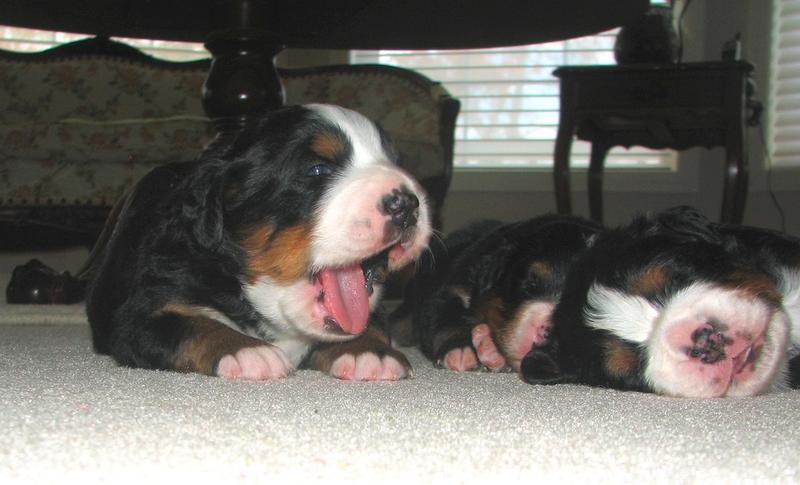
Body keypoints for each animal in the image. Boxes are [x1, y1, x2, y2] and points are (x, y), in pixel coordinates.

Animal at [84, 104, 432, 380]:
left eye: (395, 161)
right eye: (317, 169)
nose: (407, 204)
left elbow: (369, 323)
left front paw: (369, 352)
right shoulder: (141, 313)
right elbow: (194, 326)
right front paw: (246, 350)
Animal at [404, 215, 604, 370]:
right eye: (530, 282)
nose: (548, 332)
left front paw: (490, 348)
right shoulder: (452, 290)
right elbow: (446, 319)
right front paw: (460, 350)